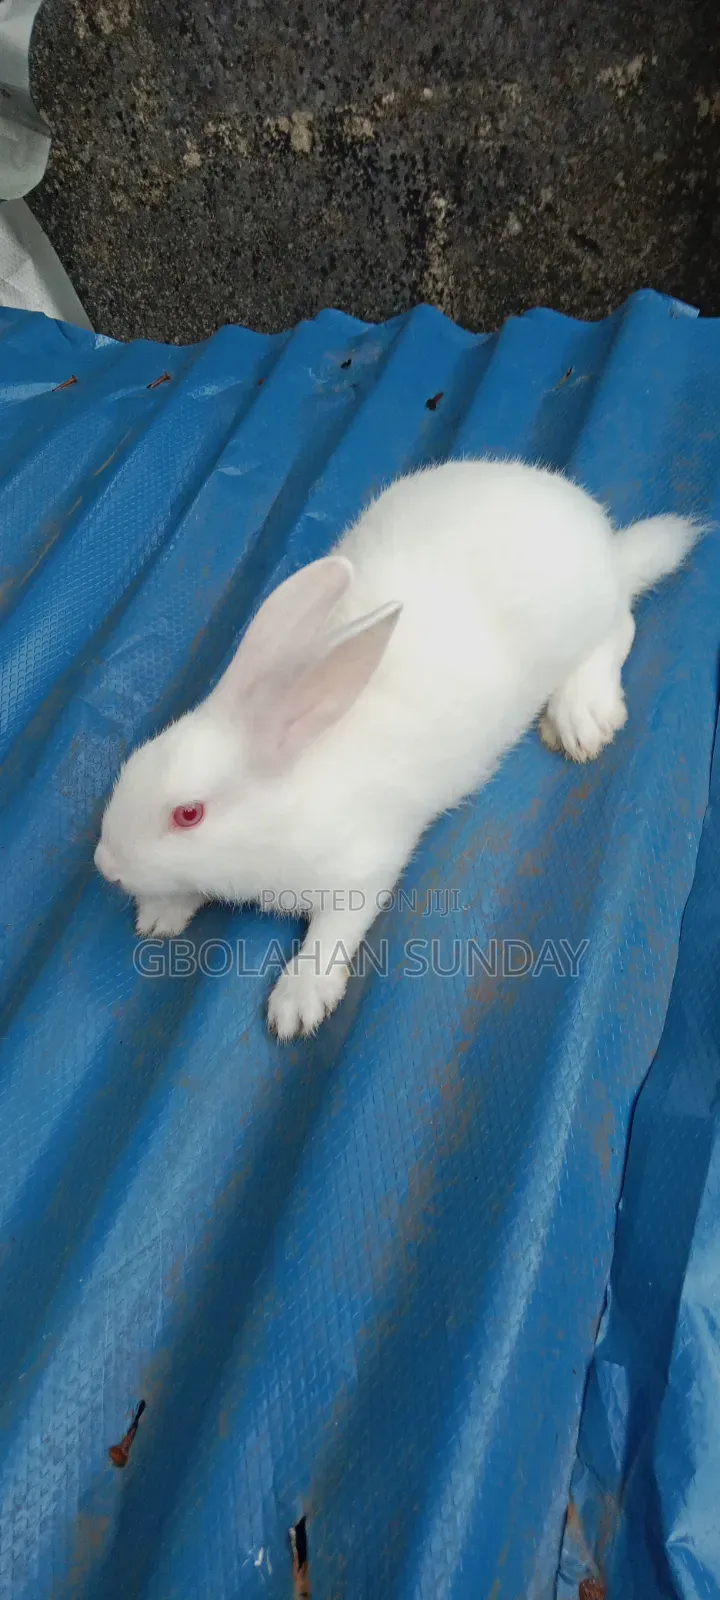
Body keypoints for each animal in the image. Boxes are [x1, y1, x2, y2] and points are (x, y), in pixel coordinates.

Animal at [94, 458, 703, 1039]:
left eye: (188, 814)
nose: (105, 867)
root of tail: (603, 537)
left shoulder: (361, 872)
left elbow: (334, 932)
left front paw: (298, 1002)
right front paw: (160, 914)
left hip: (586, 618)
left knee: (619, 626)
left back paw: (581, 717)